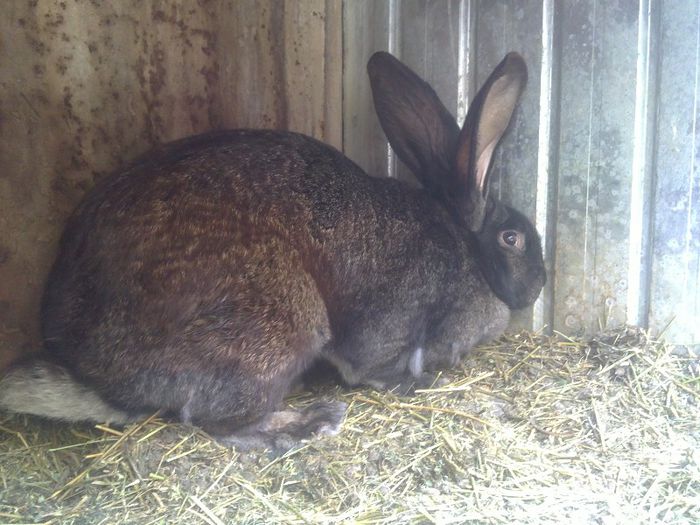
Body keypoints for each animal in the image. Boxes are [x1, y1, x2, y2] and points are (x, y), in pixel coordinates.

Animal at [0, 51, 548, 448]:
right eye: (513, 238)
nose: (541, 284)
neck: (466, 248)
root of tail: (93, 377)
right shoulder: (390, 323)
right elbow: (371, 365)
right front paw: (412, 383)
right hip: (280, 323)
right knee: (219, 422)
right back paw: (313, 421)